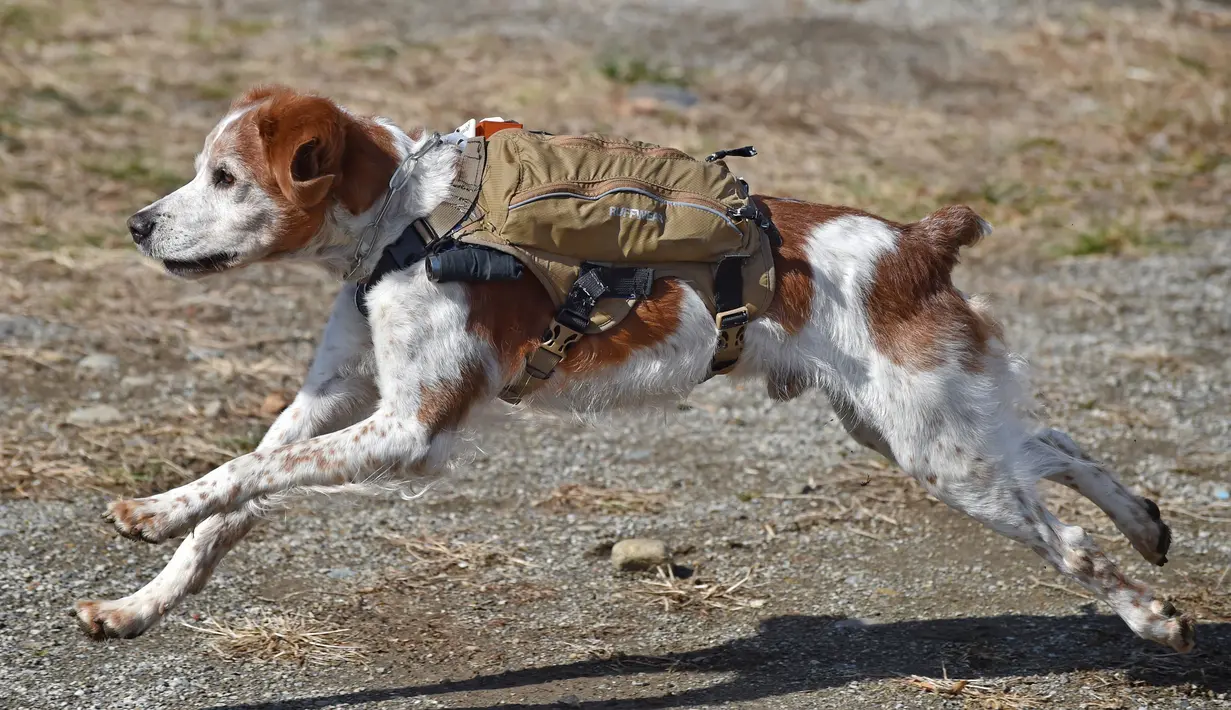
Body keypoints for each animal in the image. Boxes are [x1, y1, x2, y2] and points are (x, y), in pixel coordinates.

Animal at [74, 86, 1191, 649]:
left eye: (225, 177)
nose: (134, 223)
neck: (404, 225)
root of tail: (916, 243)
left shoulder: (409, 430)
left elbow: (242, 475)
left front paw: (148, 511)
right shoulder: (335, 403)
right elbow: (236, 496)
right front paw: (141, 601)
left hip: (935, 452)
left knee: (1063, 535)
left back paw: (1148, 613)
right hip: (905, 429)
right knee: (1052, 444)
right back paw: (1146, 523)